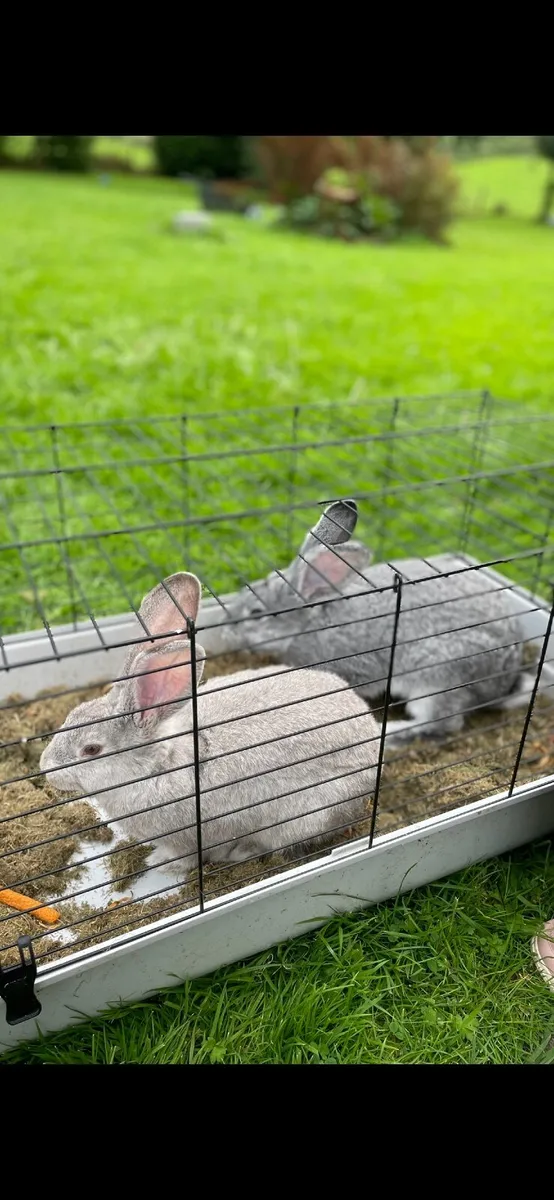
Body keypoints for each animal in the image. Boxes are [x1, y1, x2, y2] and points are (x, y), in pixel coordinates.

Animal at [39, 572, 381, 883]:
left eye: (91, 749)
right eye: (71, 715)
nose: (46, 768)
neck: (157, 766)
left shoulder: (186, 839)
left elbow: (184, 858)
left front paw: (159, 864)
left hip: (303, 818)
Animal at [214, 499, 554, 748]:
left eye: (256, 613)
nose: (227, 627)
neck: (311, 620)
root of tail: (504, 682)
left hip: (438, 677)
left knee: (442, 724)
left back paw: (392, 735)